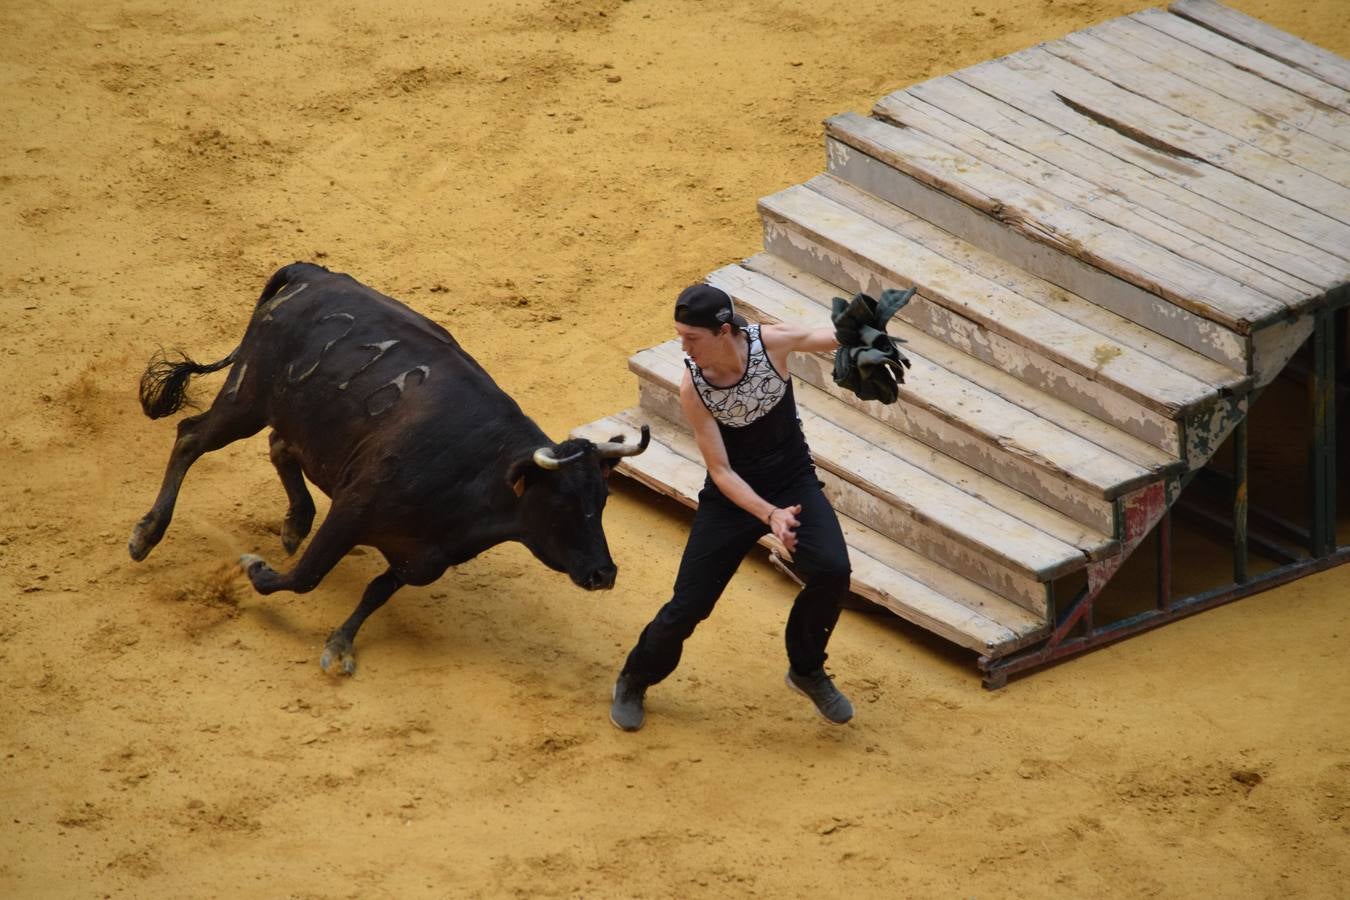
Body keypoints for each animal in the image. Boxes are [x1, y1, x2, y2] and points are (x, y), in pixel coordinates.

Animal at [127, 264, 648, 671]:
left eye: (603, 500)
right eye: (561, 502)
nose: (604, 573)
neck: (478, 477)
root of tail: (310, 273)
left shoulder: (424, 558)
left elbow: (377, 591)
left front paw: (341, 644)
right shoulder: (353, 511)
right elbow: (304, 577)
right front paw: (254, 567)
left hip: (298, 416)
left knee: (279, 446)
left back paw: (295, 521)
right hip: (246, 398)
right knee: (191, 438)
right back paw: (147, 533)